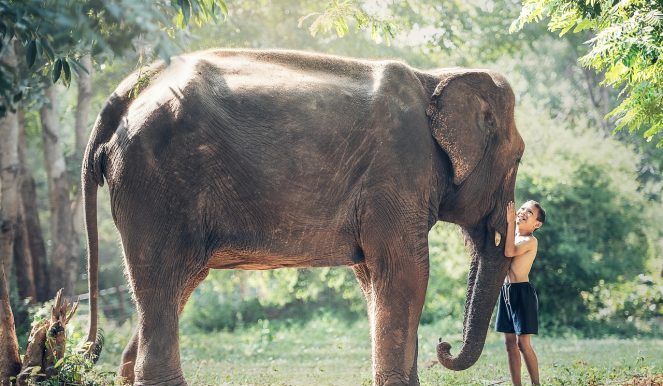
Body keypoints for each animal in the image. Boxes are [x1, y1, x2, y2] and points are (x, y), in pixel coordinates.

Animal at [81, 49, 524, 386]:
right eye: (519, 158)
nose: (444, 346)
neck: (435, 77)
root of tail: (125, 93)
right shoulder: (397, 172)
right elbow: (405, 272)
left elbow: (373, 278)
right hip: (157, 185)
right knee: (163, 277)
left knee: (175, 284)